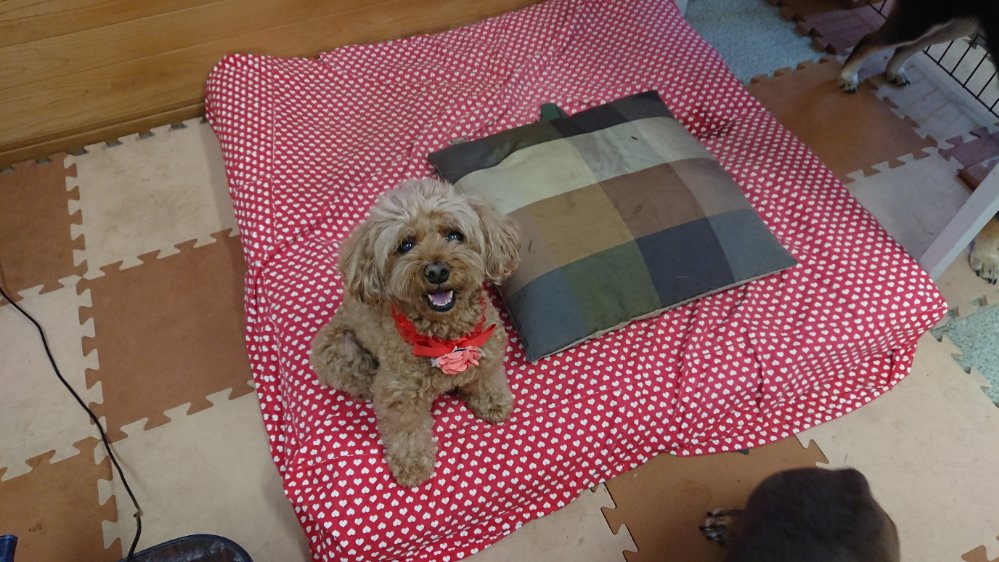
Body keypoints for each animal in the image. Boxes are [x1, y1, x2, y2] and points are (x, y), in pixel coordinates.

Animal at [309, 178, 521, 487]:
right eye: (405, 245)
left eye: (454, 235)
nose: (436, 271)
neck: (446, 337)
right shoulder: (399, 396)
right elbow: (406, 431)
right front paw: (412, 465)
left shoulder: (487, 349)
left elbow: (486, 378)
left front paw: (494, 403)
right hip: (337, 350)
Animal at [837, 0, 999, 284]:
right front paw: (988, 256)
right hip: (924, 17)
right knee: (873, 40)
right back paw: (849, 74)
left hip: (957, 26)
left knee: (906, 46)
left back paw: (893, 71)